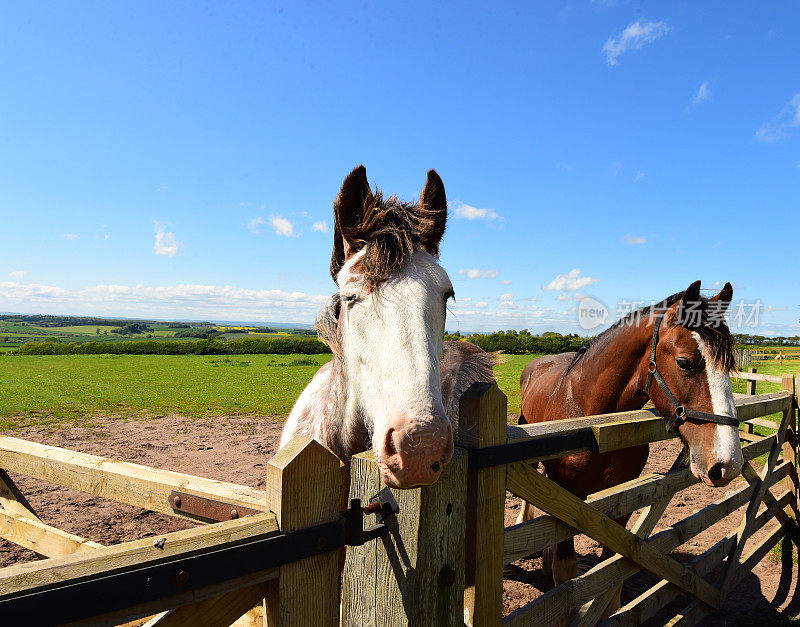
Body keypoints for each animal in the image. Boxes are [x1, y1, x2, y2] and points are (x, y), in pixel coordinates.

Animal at [520, 282, 744, 620]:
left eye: (729, 366)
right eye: (685, 363)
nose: (727, 463)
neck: (594, 419)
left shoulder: (623, 498)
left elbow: (610, 574)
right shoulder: (567, 498)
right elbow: (566, 572)